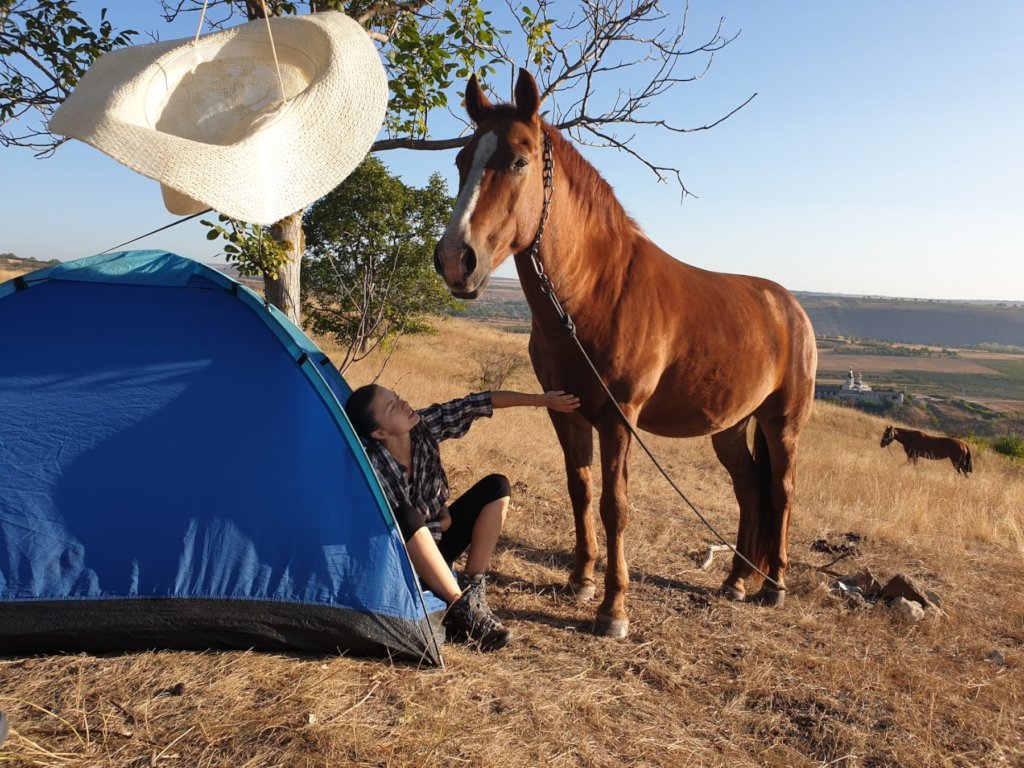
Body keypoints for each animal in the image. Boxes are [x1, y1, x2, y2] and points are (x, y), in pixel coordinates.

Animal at [433, 69, 818, 637]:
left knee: (782, 492)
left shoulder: (619, 419)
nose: (455, 260)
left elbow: (615, 505)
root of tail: (791, 308)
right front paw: (581, 580)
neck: (597, 291)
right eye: (462, 161)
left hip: (782, 423)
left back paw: (774, 587)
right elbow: (581, 491)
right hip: (729, 427)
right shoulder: (566, 410)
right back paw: (734, 582)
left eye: (519, 160)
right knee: (750, 489)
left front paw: (613, 609)